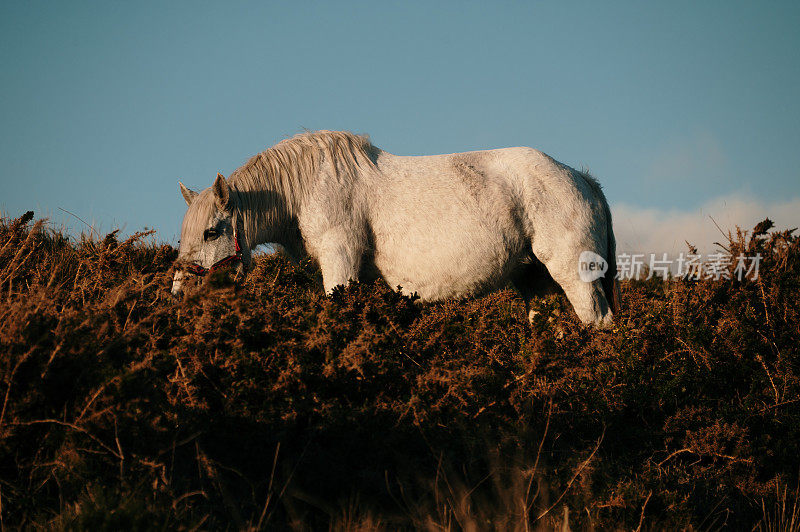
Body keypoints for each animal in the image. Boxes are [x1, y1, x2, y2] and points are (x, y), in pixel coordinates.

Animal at [172, 131, 620, 326]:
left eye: (212, 232)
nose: (178, 293)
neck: (309, 185)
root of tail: (583, 180)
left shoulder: (340, 261)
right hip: (536, 282)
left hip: (573, 274)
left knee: (598, 322)